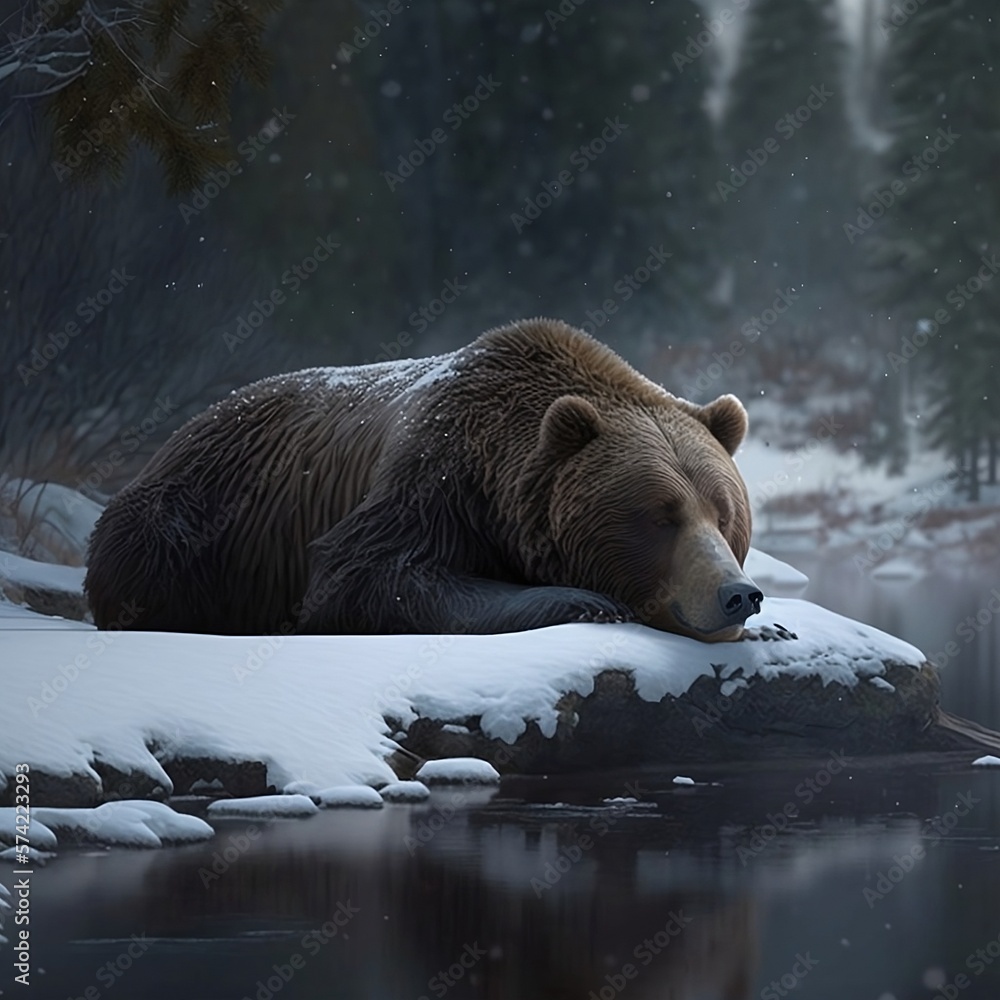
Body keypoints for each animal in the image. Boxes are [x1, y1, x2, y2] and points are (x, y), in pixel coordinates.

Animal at [84, 318, 762, 640]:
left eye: (723, 513)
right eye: (660, 515)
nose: (739, 595)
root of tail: (185, 427)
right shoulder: (436, 474)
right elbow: (369, 574)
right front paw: (590, 602)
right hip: (192, 523)